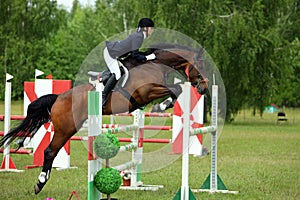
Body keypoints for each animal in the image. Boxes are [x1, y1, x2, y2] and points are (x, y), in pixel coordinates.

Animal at [0, 43, 206, 194]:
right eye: (201, 66)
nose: (203, 88)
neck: (153, 65)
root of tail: (58, 98)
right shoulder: (146, 92)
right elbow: (176, 89)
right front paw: (160, 106)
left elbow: (175, 90)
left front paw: (162, 106)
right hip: (66, 128)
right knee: (50, 151)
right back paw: (40, 183)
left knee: (51, 151)